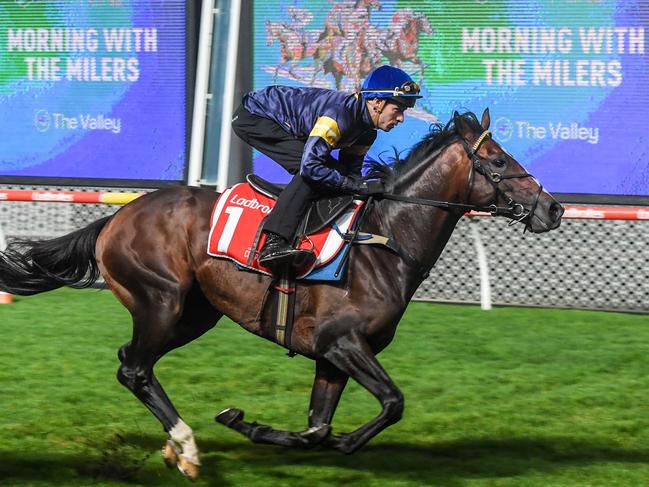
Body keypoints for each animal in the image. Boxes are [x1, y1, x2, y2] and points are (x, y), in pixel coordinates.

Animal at [0, 110, 560, 480]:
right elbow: (392, 403)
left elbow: (317, 429)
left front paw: (255, 426)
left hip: (195, 313)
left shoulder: (333, 357)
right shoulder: (341, 342)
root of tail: (117, 216)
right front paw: (257, 425)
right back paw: (188, 448)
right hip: (162, 300)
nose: (552, 208)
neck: (383, 240)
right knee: (135, 368)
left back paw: (175, 448)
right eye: (497, 160)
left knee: (131, 362)